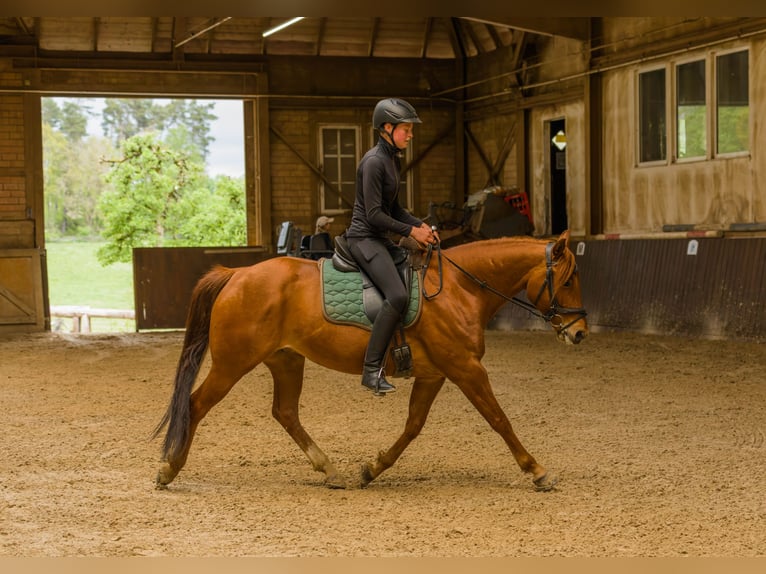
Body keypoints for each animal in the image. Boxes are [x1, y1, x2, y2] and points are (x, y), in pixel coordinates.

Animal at [154, 232, 588, 492]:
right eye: (568, 280)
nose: (580, 333)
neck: (458, 289)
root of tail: (236, 275)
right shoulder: (465, 368)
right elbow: (499, 419)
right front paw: (536, 470)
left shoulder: (435, 375)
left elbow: (413, 426)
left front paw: (373, 468)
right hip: (232, 364)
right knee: (195, 405)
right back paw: (169, 469)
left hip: (286, 360)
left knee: (285, 412)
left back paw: (330, 471)